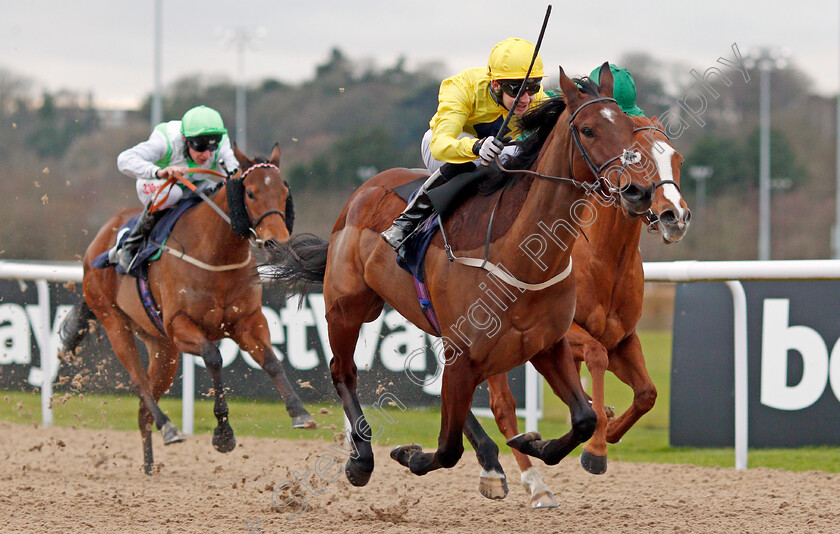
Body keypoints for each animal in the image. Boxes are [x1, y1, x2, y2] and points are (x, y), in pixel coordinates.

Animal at [59, 144, 316, 476]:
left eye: (284, 191)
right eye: (251, 192)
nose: (278, 242)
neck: (215, 254)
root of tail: (98, 240)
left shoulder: (247, 321)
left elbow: (271, 361)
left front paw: (299, 412)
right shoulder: (180, 326)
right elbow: (214, 357)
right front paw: (223, 434)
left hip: (162, 348)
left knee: (143, 408)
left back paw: (149, 465)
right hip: (114, 322)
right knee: (138, 382)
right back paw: (168, 427)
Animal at [262, 65, 656, 496]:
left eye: (629, 129)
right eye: (587, 130)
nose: (639, 190)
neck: (524, 256)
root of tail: (362, 192)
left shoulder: (545, 344)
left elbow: (584, 419)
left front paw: (533, 443)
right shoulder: (468, 352)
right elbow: (447, 449)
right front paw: (409, 455)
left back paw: (490, 460)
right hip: (348, 307)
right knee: (342, 371)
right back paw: (361, 458)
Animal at [486, 114, 688, 510]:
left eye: (678, 159)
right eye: (638, 158)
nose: (676, 216)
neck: (604, 255)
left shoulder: (623, 338)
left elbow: (647, 392)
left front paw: (607, 429)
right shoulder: (567, 333)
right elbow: (595, 355)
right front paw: (595, 448)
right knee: (502, 406)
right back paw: (532, 484)